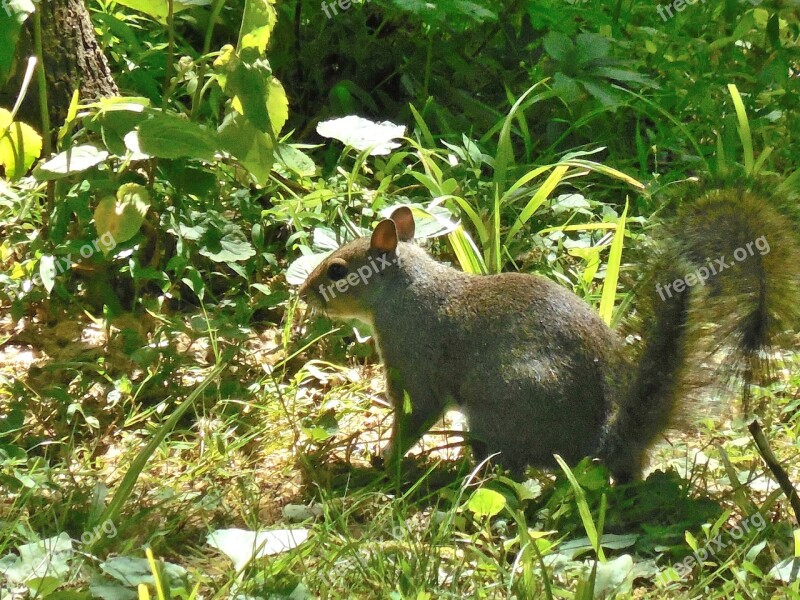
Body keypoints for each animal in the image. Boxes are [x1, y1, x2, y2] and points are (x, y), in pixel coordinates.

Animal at [298, 189, 800, 482]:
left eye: (337, 270)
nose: (303, 293)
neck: (404, 291)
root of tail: (601, 443)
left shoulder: (414, 365)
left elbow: (414, 415)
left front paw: (386, 460)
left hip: (504, 404)